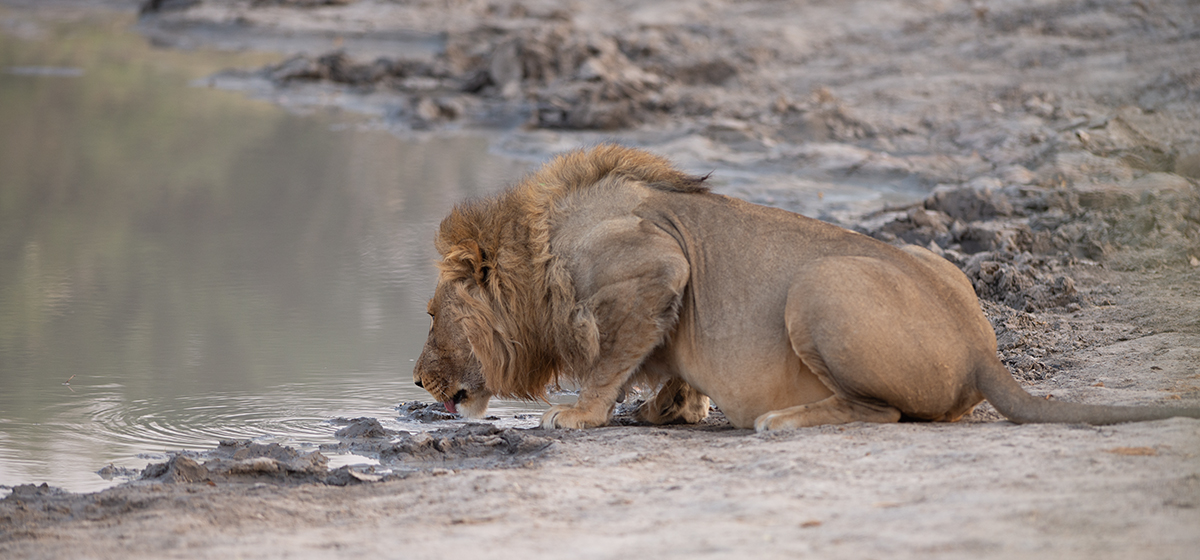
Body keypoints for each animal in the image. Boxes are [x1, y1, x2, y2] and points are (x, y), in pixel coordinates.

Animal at [413, 144, 1200, 430]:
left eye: (429, 314)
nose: (416, 380)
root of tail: (984, 352)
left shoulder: (658, 266)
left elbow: (610, 361)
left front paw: (578, 414)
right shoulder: (669, 294)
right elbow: (665, 366)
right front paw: (673, 408)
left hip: (818, 288)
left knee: (881, 413)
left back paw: (782, 419)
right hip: (931, 262)